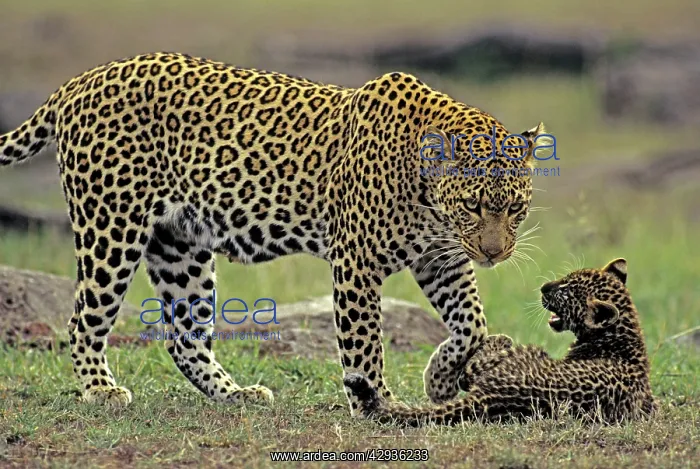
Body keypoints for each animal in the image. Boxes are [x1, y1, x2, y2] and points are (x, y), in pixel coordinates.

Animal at [0, 52, 550, 412]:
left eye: (516, 209)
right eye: (474, 205)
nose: (495, 253)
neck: (429, 198)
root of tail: (79, 81)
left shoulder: (442, 259)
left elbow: (472, 323)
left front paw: (439, 379)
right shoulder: (356, 261)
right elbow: (365, 342)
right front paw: (377, 405)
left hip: (180, 247)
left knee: (183, 335)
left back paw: (235, 394)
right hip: (111, 228)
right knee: (83, 320)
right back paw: (100, 389)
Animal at [345, 258, 657, 425]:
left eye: (567, 291)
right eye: (564, 278)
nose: (544, 287)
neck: (624, 335)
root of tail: (493, 396)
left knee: (474, 369)